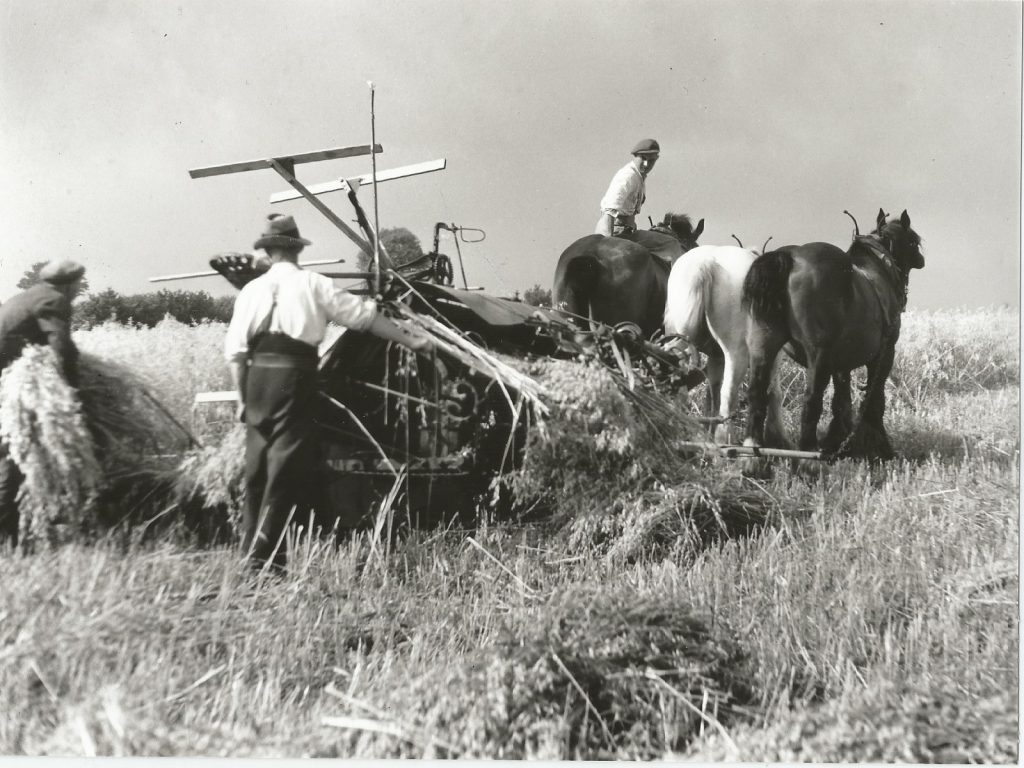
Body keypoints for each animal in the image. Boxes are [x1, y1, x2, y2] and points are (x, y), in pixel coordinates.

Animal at [659, 246, 786, 448]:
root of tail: (705, 263)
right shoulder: (772, 353)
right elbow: (773, 391)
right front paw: (778, 438)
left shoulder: (716, 358)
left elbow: (713, 391)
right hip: (737, 351)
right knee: (730, 392)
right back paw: (725, 440)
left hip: (678, 337)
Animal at [741, 210, 925, 460]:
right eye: (913, 241)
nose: (921, 259)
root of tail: (788, 256)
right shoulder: (884, 355)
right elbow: (875, 400)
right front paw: (881, 448)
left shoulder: (840, 364)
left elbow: (841, 400)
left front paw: (838, 441)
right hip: (818, 356)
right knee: (811, 401)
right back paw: (808, 456)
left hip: (763, 346)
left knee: (757, 394)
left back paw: (753, 453)